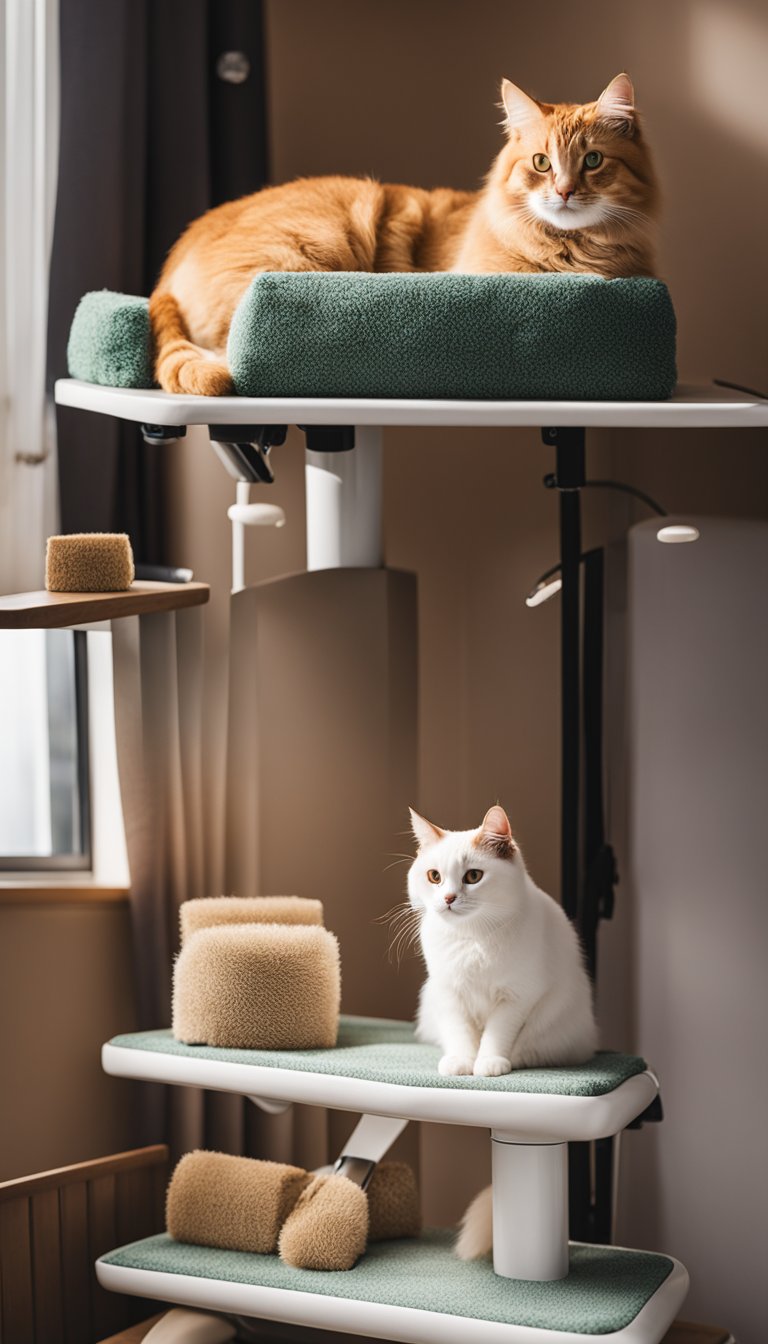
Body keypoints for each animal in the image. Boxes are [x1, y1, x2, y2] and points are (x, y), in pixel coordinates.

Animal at [151, 74, 661, 395]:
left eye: (592, 161)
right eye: (541, 163)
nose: (565, 191)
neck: (567, 254)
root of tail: (173, 259)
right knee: (224, 344)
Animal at [406, 806, 597, 1257]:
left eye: (473, 876)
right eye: (434, 876)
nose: (448, 898)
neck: (471, 939)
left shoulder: (516, 998)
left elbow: (495, 1035)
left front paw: (488, 1064)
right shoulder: (448, 993)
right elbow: (462, 1034)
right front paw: (461, 1063)